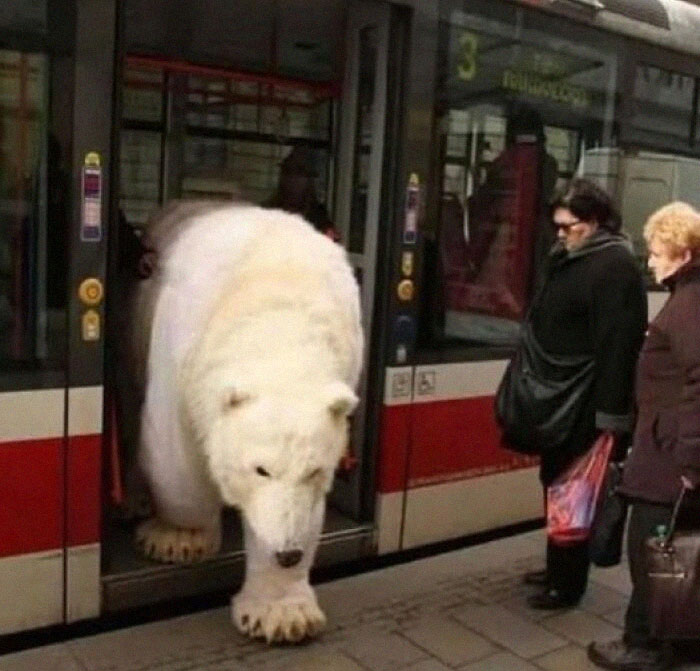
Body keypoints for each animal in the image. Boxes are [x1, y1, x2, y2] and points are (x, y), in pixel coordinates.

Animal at [129, 201, 363, 643]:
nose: (288, 553)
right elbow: (176, 457)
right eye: (261, 469)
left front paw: (282, 615)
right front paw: (177, 539)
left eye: (315, 470)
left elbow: (303, 511)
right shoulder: (182, 350)